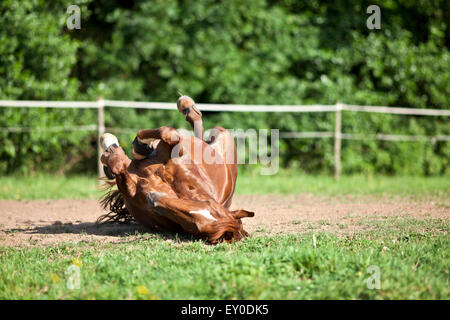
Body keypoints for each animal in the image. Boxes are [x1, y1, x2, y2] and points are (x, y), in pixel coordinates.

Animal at [98, 95, 253, 242]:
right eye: (208, 204)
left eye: (196, 225)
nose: (153, 199)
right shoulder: (173, 151)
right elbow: (169, 134)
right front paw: (137, 146)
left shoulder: (129, 184)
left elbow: (118, 165)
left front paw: (111, 149)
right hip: (217, 133)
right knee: (198, 132)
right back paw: (187, 106)